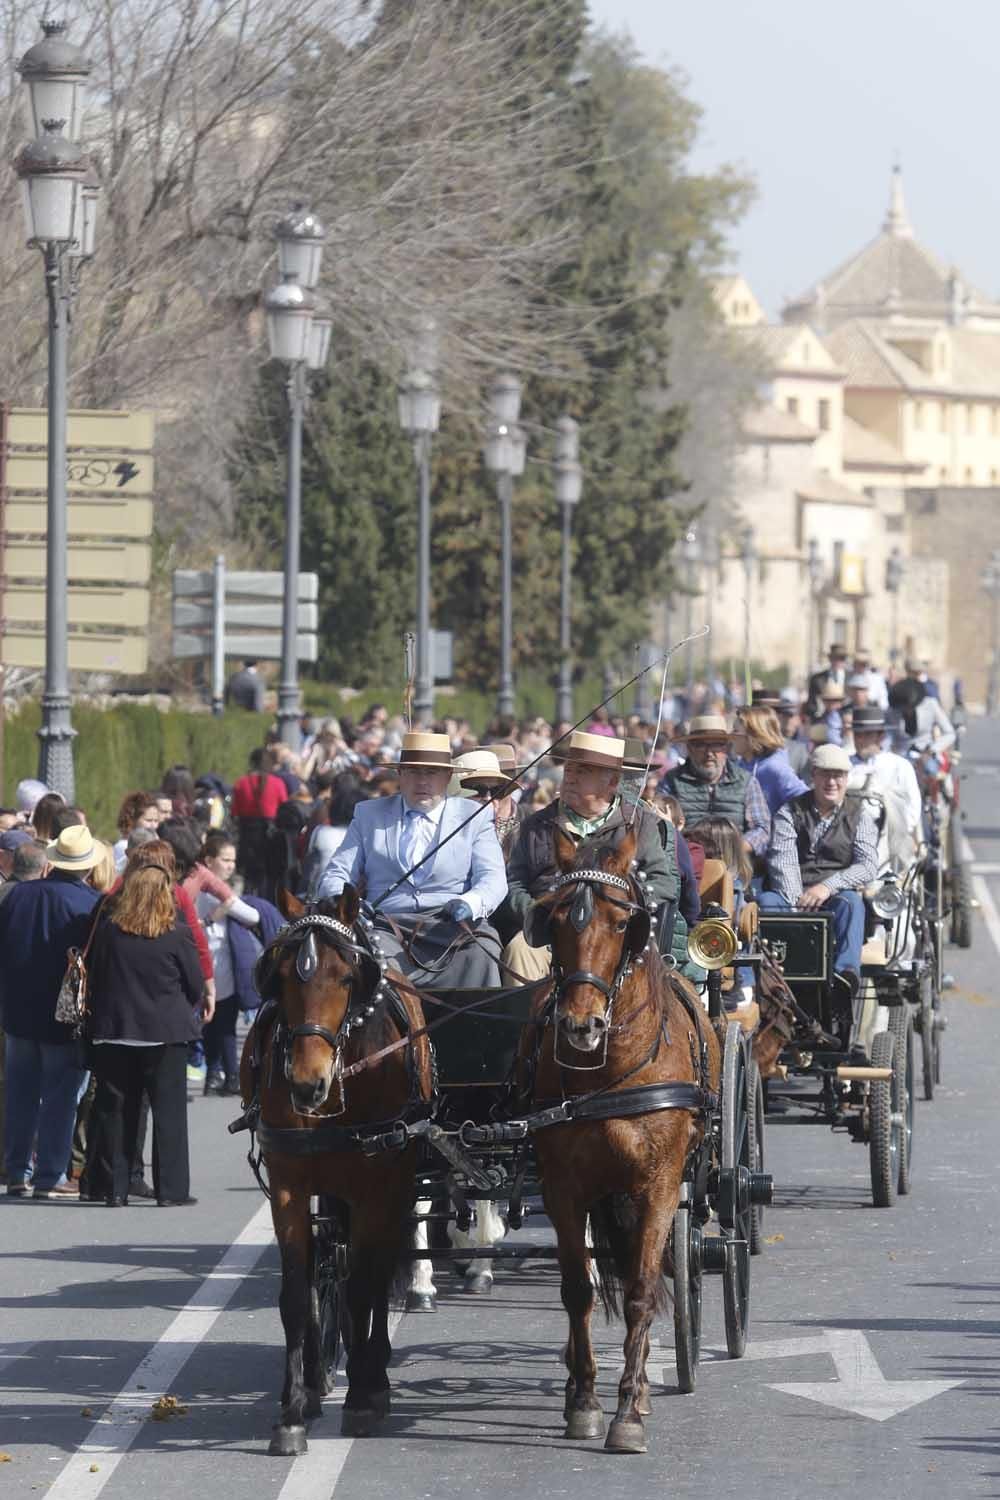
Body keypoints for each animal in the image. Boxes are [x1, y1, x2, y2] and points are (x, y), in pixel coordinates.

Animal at [241, 888, 434, 1452]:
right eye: (281, 976)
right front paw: (292, 1409)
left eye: (347, 978)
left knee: (375, 1270)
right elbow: (297, 1292)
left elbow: (366, 1284)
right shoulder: (289, 1184)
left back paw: (375, 1373)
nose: (308, 1083)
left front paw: (365, 1396)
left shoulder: (378, 1186)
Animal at [524, 828, 719, 1446]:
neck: (607, 1076)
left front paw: (628, 1410)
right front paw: (585, 1401)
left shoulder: (658, 1187)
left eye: (620, 921)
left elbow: (640, 1291)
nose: (580, 1025)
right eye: (557, 918)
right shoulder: (564, 1188)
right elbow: (577, 1290)